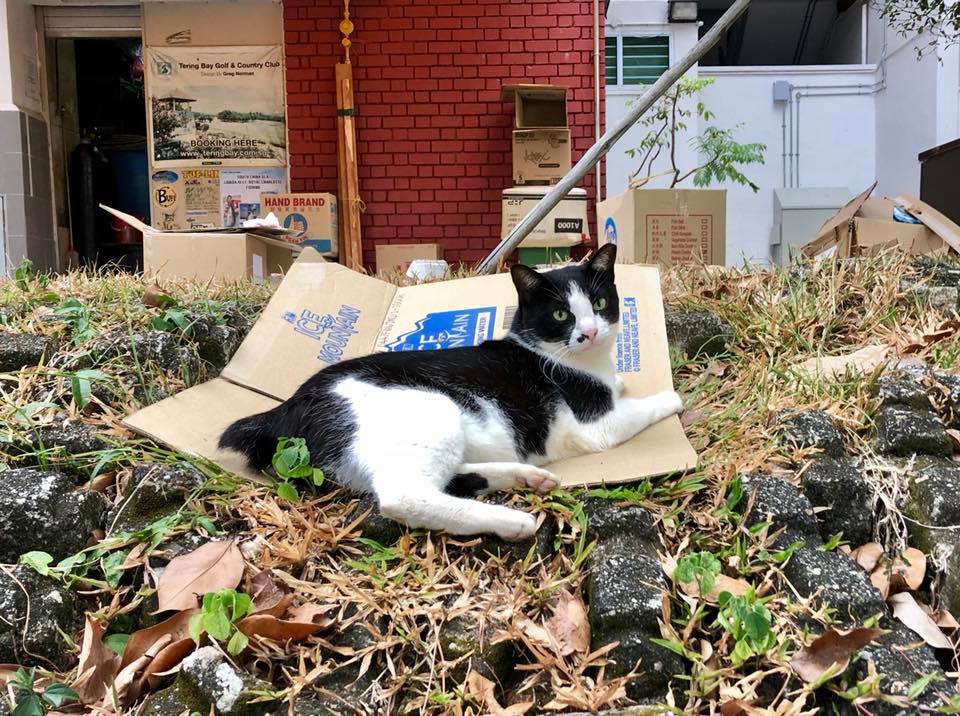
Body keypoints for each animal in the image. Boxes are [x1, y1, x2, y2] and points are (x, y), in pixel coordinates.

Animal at [218, 243, 684, 540]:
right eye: (560, 315)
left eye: (600, 304)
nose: (589, 333)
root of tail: (288, 406)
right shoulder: (594, 427)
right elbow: (637, 409)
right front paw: (670, 398)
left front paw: (620, 380)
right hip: (430, 409)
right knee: (405, 495)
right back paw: (511, 521)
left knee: (452, 476)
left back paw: (524, 476)